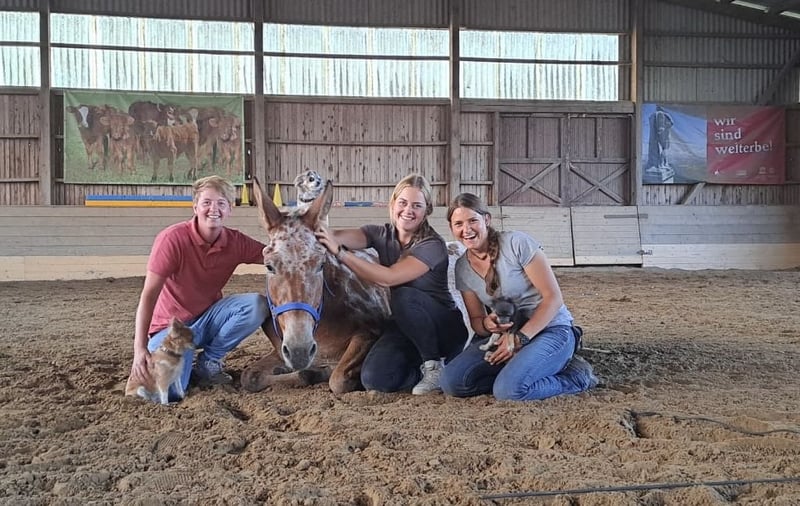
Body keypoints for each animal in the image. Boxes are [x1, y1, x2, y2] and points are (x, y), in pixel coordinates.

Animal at [240, 179, 391, 395]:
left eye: (320, 264)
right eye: (268, 266)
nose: (299, 350)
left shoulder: (369, 334)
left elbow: (338, 378)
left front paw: (322, 372)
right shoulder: (280, 350)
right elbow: (250, 377)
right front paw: (307, 372)